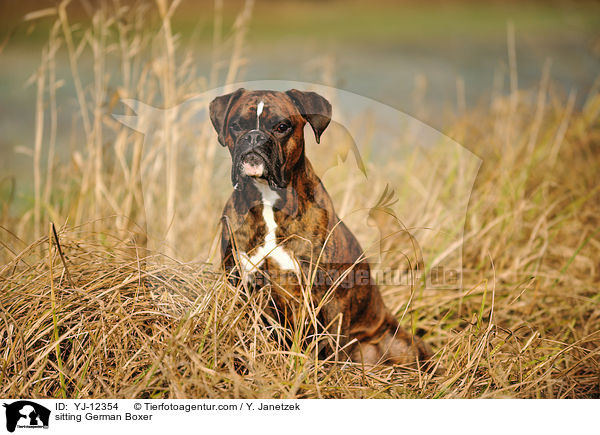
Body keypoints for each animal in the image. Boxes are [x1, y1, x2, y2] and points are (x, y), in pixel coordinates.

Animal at [210, 89, 432, 368]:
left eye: (282, 126)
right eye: (236, 125)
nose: (254, 137)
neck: (267, 198)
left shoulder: (329, 297)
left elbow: (330, 347)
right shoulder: (240, 283)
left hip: (402, 342)